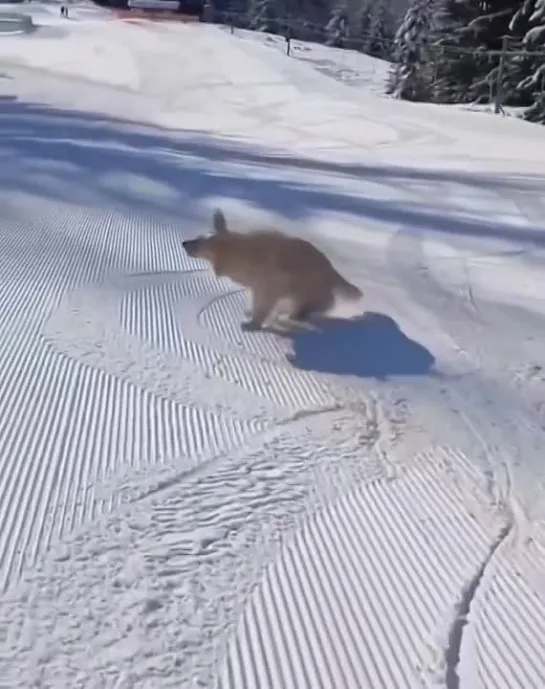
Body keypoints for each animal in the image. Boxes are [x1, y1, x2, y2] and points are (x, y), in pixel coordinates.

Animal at [181, 207, 364, 330]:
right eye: (197, 237)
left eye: (198, 242)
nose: (184, 243)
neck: (242, 254)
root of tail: (330, 268)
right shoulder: (258, 287)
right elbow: (258, 303)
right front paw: (252, 316)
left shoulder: (271, 285)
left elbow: (264, 306)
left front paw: (252, 324)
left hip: (307, 286)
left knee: (317, 302)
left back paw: (300, 313)